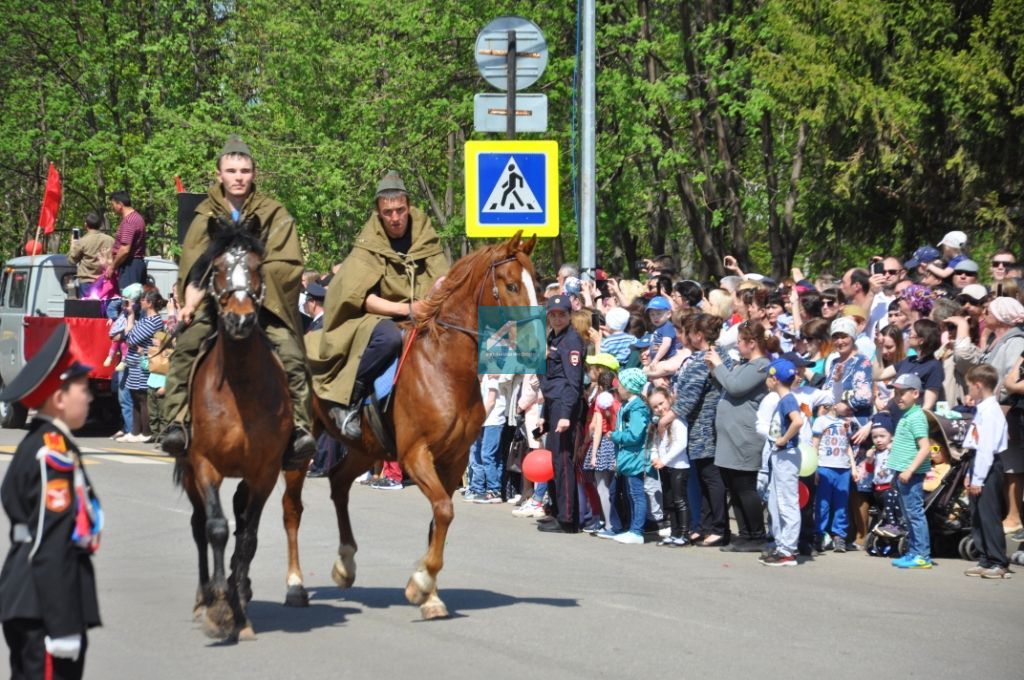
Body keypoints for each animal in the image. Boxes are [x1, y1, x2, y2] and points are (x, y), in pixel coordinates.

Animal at [176, 229, 307, 643]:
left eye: (256, 268)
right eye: (216, 268)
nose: (240, 319)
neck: (240, 387)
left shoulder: (264, 470)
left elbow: (247, 536)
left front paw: (238, 605)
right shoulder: (204, 464)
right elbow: (217, 529)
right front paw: (220, 608)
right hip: (189, 472)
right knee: (199, 525)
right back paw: (203, 598)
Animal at [311, 231, 540, 618]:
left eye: (536, 283)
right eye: (511, 285)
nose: (537, 346)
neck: (444, 367)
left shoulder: (453, 461)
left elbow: (439, 518)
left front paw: (428, 591)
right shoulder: (416, 455)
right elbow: (444, 511)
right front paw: (421, 584)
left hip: (364, 448)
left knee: (339, 484)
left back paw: (345, 564)